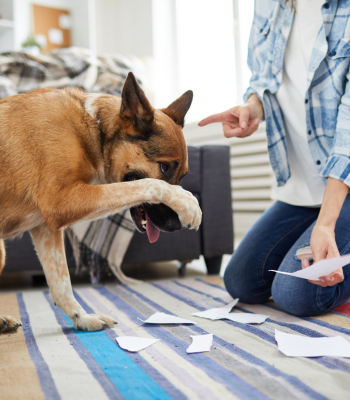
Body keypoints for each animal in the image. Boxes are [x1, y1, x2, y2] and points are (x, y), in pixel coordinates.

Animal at [0, 72, 201, 332]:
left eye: (183, 176)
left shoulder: (45, 227)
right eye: (164, 167)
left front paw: (82, 319)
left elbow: (61, 283)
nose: (175, 226)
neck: (95, 127)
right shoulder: (61, 202)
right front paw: (187, 202)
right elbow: (146, 184)